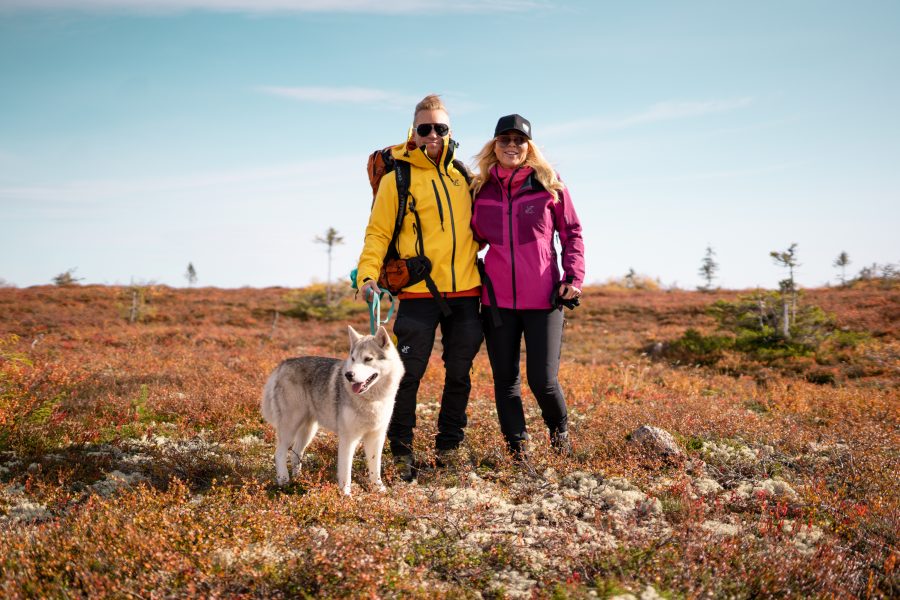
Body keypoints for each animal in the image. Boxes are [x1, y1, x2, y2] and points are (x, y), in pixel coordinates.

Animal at [258, 326, 402, 494]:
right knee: (279, 453)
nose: (348, 375)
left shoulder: (376, 437)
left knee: (295, 454)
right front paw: (346, 494)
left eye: (368, 359)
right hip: (290, 426)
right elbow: (346, 472)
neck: (371, 400)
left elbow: (375, 468)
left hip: (308, 431)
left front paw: (379, 489)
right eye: (353, 359)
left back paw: (299, 479)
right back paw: (284, 481)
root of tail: (283, 364)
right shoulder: (348, 438)